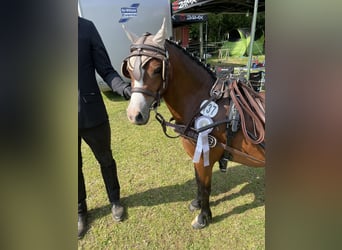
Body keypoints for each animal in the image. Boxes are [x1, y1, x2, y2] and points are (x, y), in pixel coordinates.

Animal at [121, 19, 266, 229]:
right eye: (129, 70)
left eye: (156, 69)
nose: (135, 115)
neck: (202, 101)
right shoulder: (197, 155)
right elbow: (198, 182)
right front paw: (197, 204)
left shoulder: (206, 154)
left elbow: (205, 186)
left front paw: (203, 217)